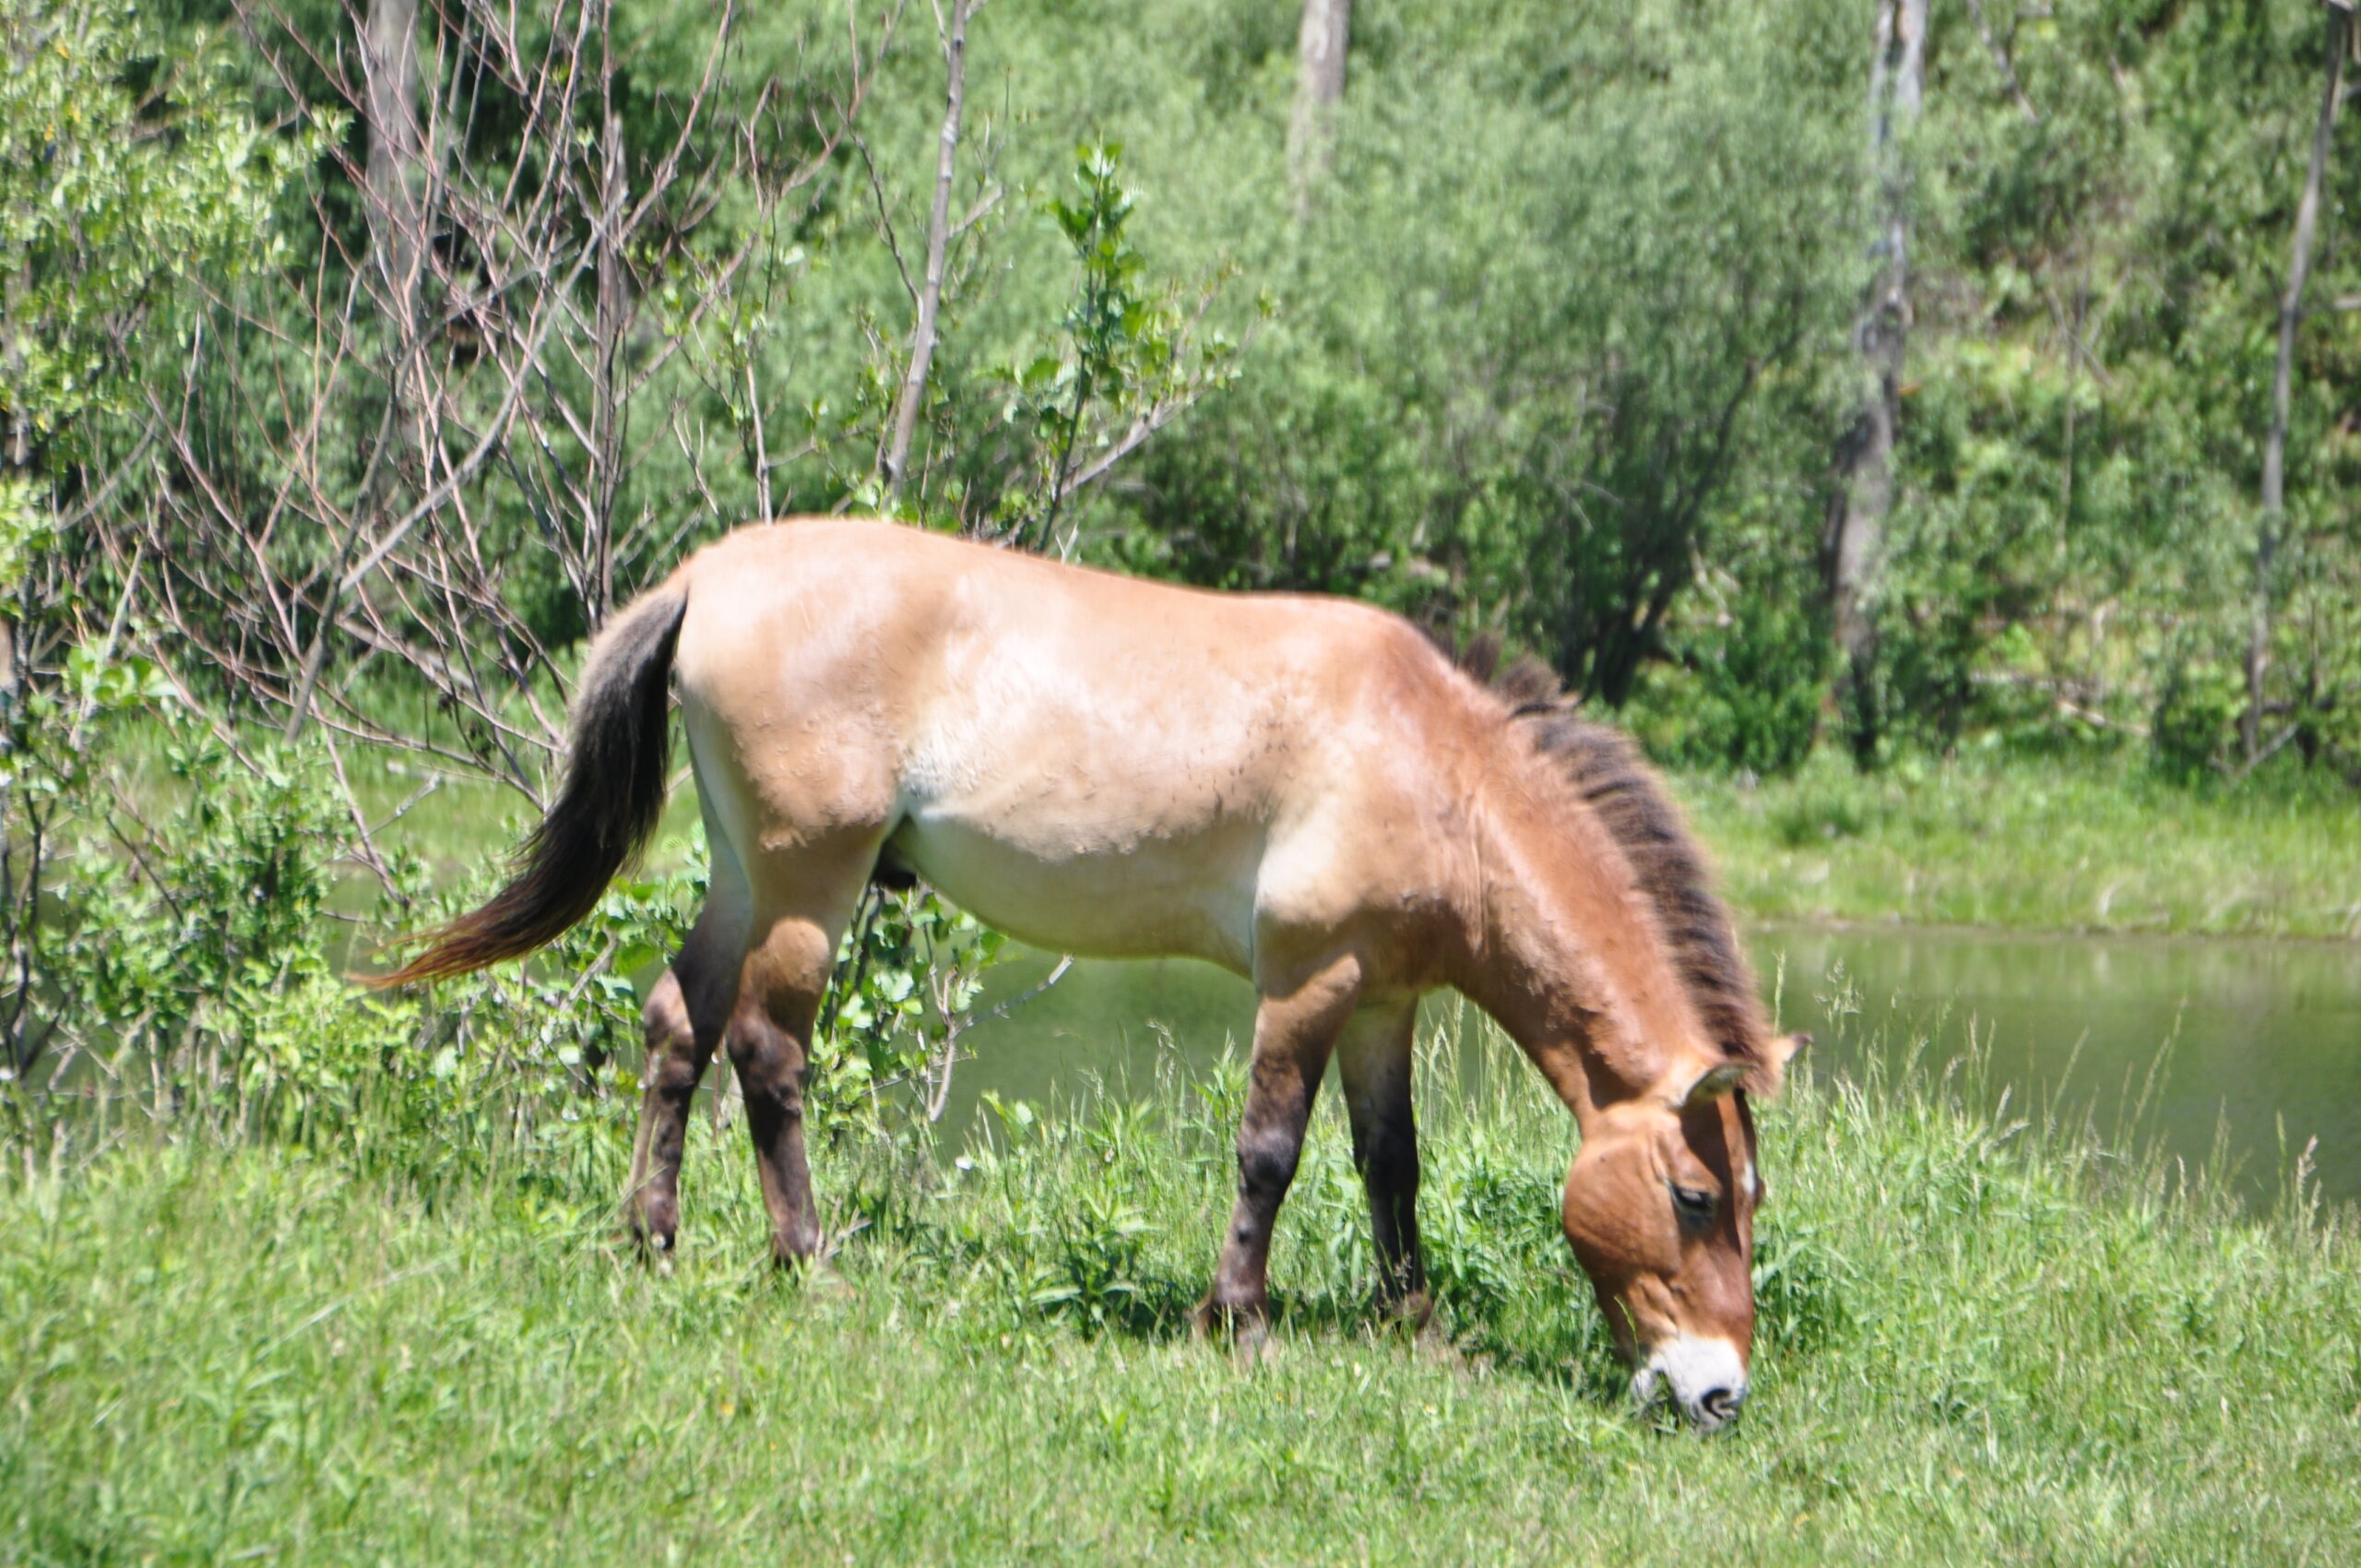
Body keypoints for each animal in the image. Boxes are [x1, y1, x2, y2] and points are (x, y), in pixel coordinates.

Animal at [382, 519, 1803, 1426]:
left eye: (1746, 1196)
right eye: (1692, 1195)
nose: (1716, 1391)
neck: (1428, 757)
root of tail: (703, 577)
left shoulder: (1385, 999)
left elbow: (1390, 1163)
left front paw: (1416, 1327)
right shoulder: (1308, 977)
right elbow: (1270, 1150)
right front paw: (1239, 1320)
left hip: (743, 874)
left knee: (677, 1019)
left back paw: (652, 1233)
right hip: (808, 884)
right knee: (768, 1053)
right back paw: (807, 1258)